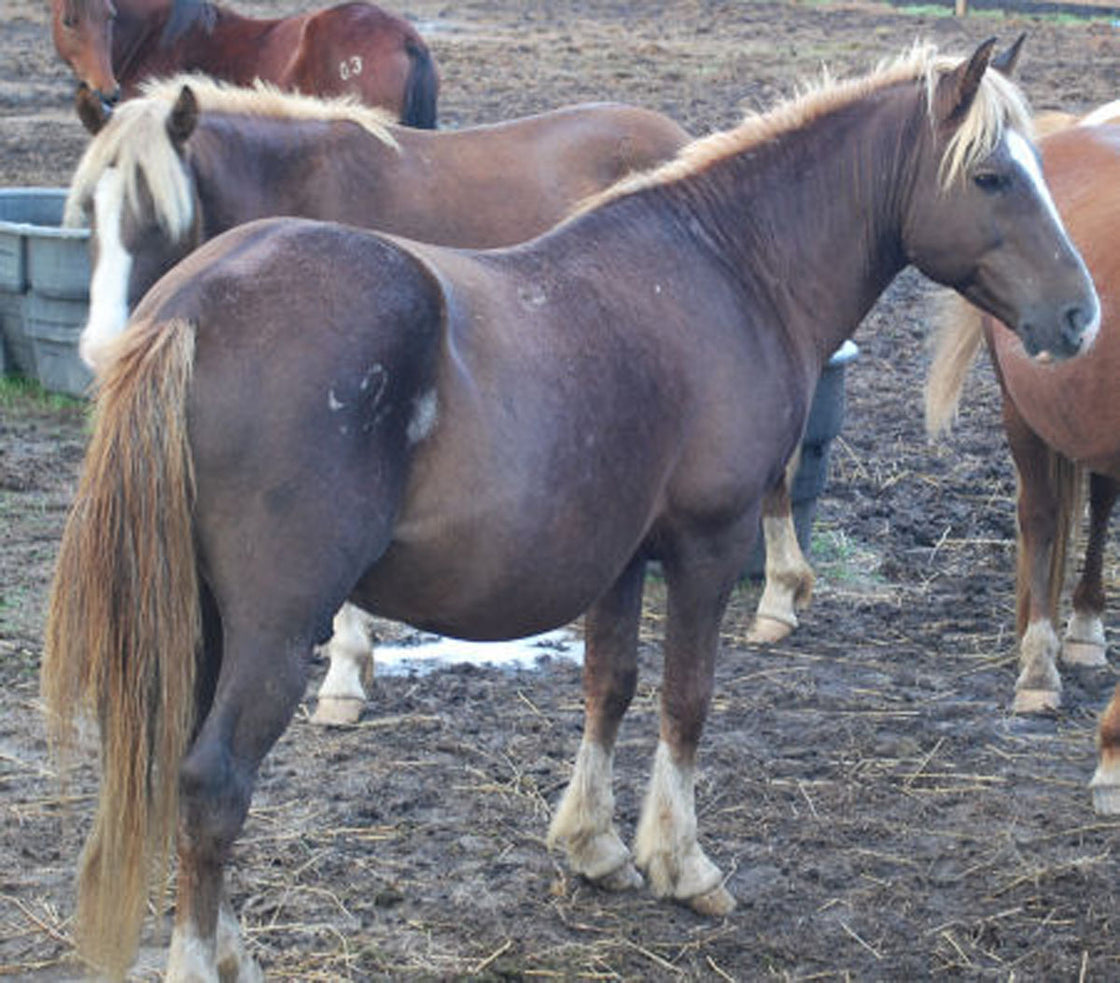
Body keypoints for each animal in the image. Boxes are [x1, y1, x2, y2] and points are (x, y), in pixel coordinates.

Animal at [39, 42, 1097, 980]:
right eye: (994, 176)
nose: (1081, 314)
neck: (728, 265)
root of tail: (191, 306)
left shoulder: (622, 558)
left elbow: (609, 687)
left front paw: (595, 847)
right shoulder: (707, 546)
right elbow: (685, 698)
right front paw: (682, 862)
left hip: (203, 617)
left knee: (178, 769)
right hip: (272, 624)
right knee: (215, 780)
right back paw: (202, 960)